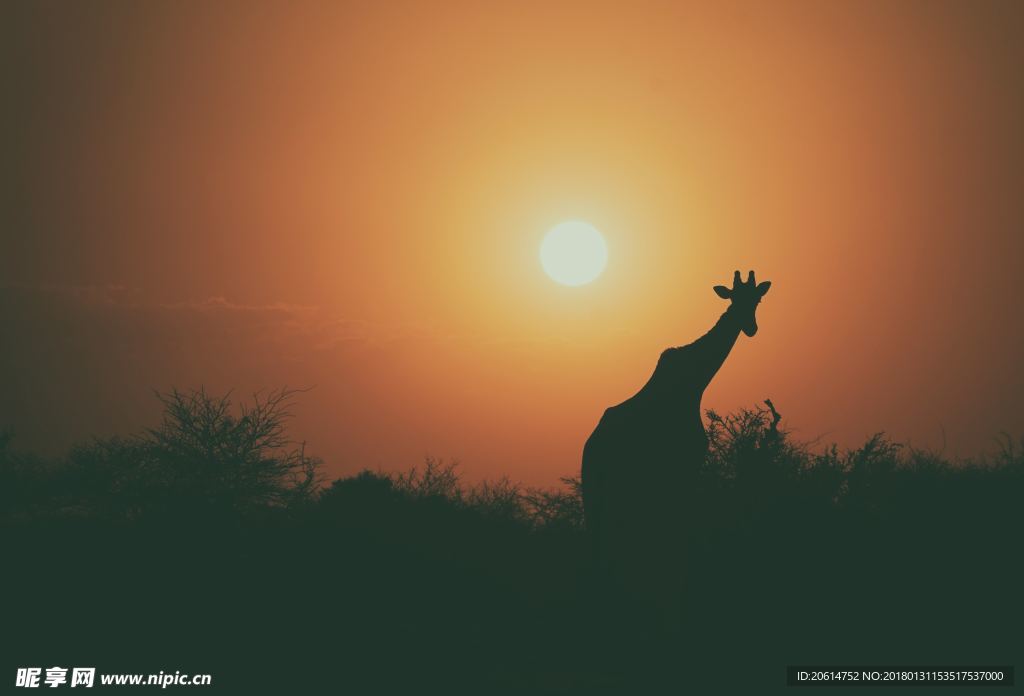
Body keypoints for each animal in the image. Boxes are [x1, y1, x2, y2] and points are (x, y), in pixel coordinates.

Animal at [585, 268, 770, 634]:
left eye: (756, 300)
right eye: (733, 299)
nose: (751, 328)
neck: (695, 384)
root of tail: (590, 447)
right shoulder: (685, 466)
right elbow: (678, 546)